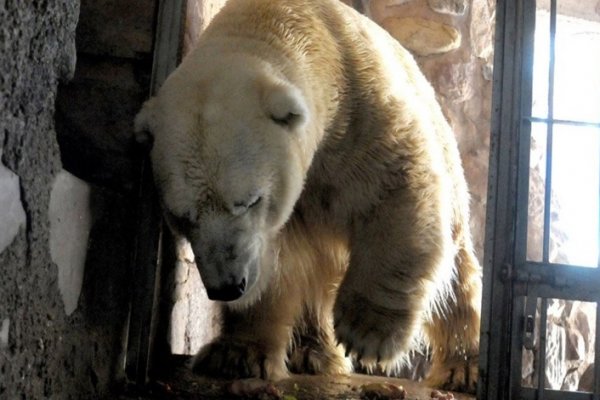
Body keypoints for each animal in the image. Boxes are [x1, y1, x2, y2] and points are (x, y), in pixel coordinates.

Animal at [136, 0, 482, 394]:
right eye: (182, 217)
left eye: (249, 201)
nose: (228, 287)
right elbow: (275, 267)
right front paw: (235, 355)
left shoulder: (361, 114)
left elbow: (399, 190)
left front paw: (368, 334)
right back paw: (312, 352)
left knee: (455, 277)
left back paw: (464, 367)